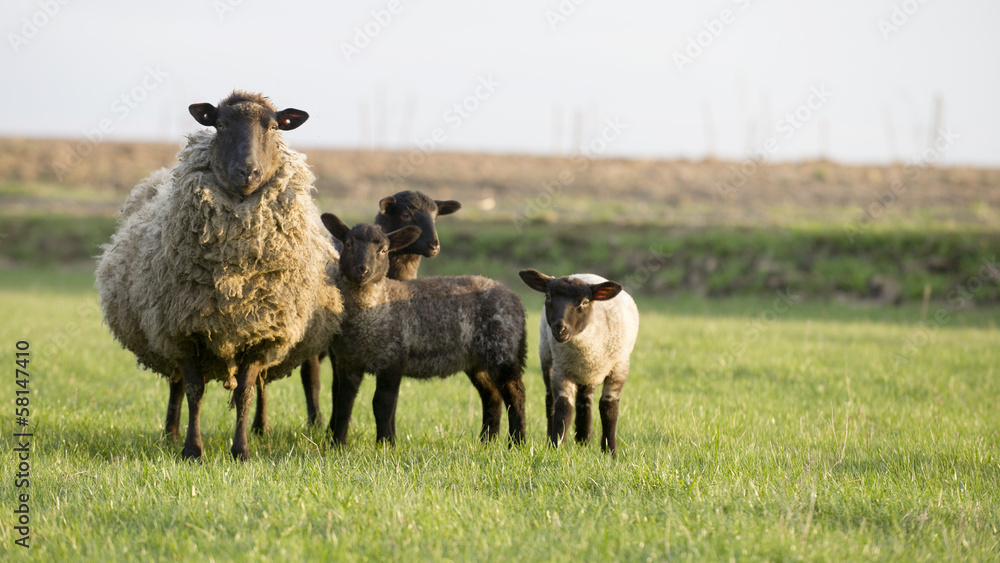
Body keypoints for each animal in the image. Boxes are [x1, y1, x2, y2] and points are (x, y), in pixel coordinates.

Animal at [95, 91, 342, 460]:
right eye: (221, 125)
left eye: (273, 126)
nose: (247, 171)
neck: (234, 279)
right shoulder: (185, 329)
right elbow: (194, 390)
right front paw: (192, 449)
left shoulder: (262, 331)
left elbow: (245, 391)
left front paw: (241, 449)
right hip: (166, 330)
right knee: (177, 384)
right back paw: (171, 433)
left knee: (281, 381)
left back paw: (264, 429)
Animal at [298, 191, 462, 427]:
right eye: (405, 214)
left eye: (436, 216)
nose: (434, 245)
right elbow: (338, 386)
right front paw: (334, 427)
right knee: (311, 375)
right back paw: (315, 421)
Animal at [321, 213, 527, 445]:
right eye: (348, 244)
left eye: (383, 250)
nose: (362, 270)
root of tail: (516, 299)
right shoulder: (347, 362)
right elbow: (342, 403)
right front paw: (337, 444)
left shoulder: (393, 360)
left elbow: (382, 405)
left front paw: (385, 444)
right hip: (476, 360)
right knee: (492, 396)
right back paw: (486, 441)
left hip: (502, 349)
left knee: (515, 394)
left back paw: (517, 442)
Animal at [518, 269, 639, 455]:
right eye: (548, 296)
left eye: (585, 302)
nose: (560, 328)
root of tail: (583, 273)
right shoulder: (562, 370)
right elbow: (564, 409)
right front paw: (556, 447)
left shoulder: (618, 370)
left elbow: (609, 409)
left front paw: (610, 451)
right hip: (546, 356)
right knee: (550, 401)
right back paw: (558, 438)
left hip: (587, 373)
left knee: (585, 401)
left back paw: (584, 440)